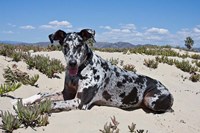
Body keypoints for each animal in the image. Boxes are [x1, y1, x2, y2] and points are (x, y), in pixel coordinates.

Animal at [13, 28, 173, 112]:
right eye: (65, 46)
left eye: (79, 45)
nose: (72, 63)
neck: (79, 72)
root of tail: (168, 90)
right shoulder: (66, 93)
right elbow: (43, 94)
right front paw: (24, 101)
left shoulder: (78, 102)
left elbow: (49, 103)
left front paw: (29, 108)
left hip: (150, 99)